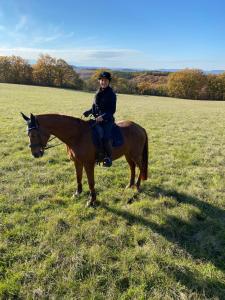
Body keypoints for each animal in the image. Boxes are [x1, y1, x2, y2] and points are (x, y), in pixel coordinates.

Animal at [20, 112, 148, 206]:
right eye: (28, 134)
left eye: (34, 134)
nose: (35, 154)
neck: (77, 135)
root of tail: (140, 127)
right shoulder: (77, 162)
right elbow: (78, 177)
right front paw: (77, 193)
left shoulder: (88, 163)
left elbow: (91, 182)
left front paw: (91, 200)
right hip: (128, 154)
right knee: (132, 167)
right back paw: (130, 185)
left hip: (135, 155)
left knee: (141, 167)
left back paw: (137, 187)